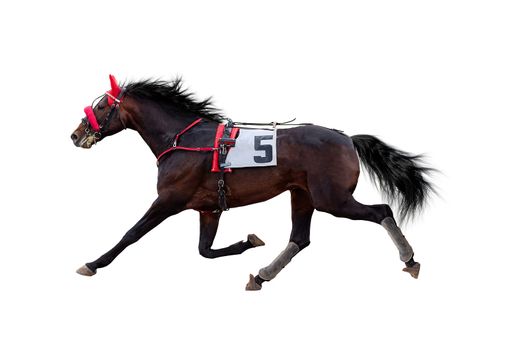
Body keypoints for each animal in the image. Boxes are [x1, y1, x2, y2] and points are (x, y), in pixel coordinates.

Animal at [69, 74, 434, 290]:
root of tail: (347, 139)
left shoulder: (169, 199)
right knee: (300, 239)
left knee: (381, 210)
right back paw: (261, 275)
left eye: (102, 106)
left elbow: (131, 234)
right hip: (303, 195)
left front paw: (93, 264)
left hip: (332, 199)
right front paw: (250, 241)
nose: (75, 135)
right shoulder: (209, 209)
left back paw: (410, 259)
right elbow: (205, 250)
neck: (182, 139)